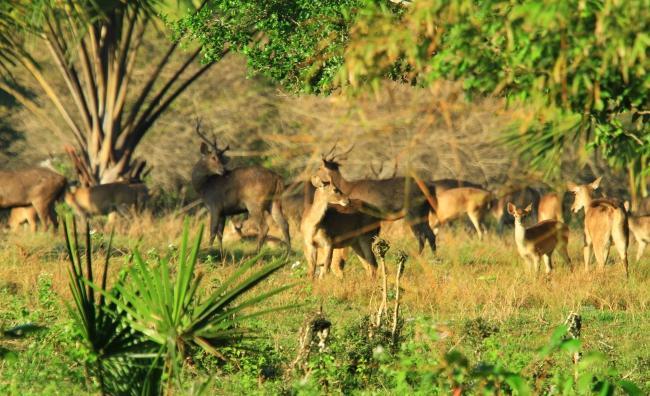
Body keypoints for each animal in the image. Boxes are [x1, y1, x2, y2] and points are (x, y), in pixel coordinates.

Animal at [191, 120, 290, 255]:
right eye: (214, 158)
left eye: (219, 158)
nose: (223, 170)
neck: (204, 188)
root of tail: (278, 178)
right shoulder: (224, 212)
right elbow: (220, 234)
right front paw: (220, 253)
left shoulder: (215, 206)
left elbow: (212, 232)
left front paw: (209, 252)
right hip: (275, 201)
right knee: (284, 223)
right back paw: (288, 253)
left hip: (254, 203)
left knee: (264, 227)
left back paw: (256, 253)